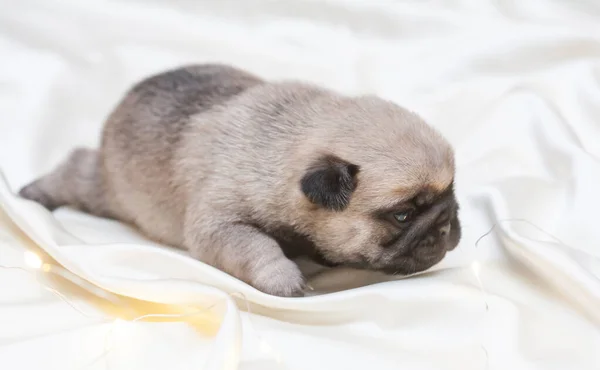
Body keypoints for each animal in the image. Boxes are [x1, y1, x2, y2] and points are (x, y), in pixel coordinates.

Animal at [17, 62, 460, 296]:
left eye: (453, 194)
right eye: (403, 215)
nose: (446, 223)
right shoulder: (220, 225)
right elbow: (258, 246)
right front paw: (283, 277)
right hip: (111, 189)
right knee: (77, 170)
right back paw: (38, 192)